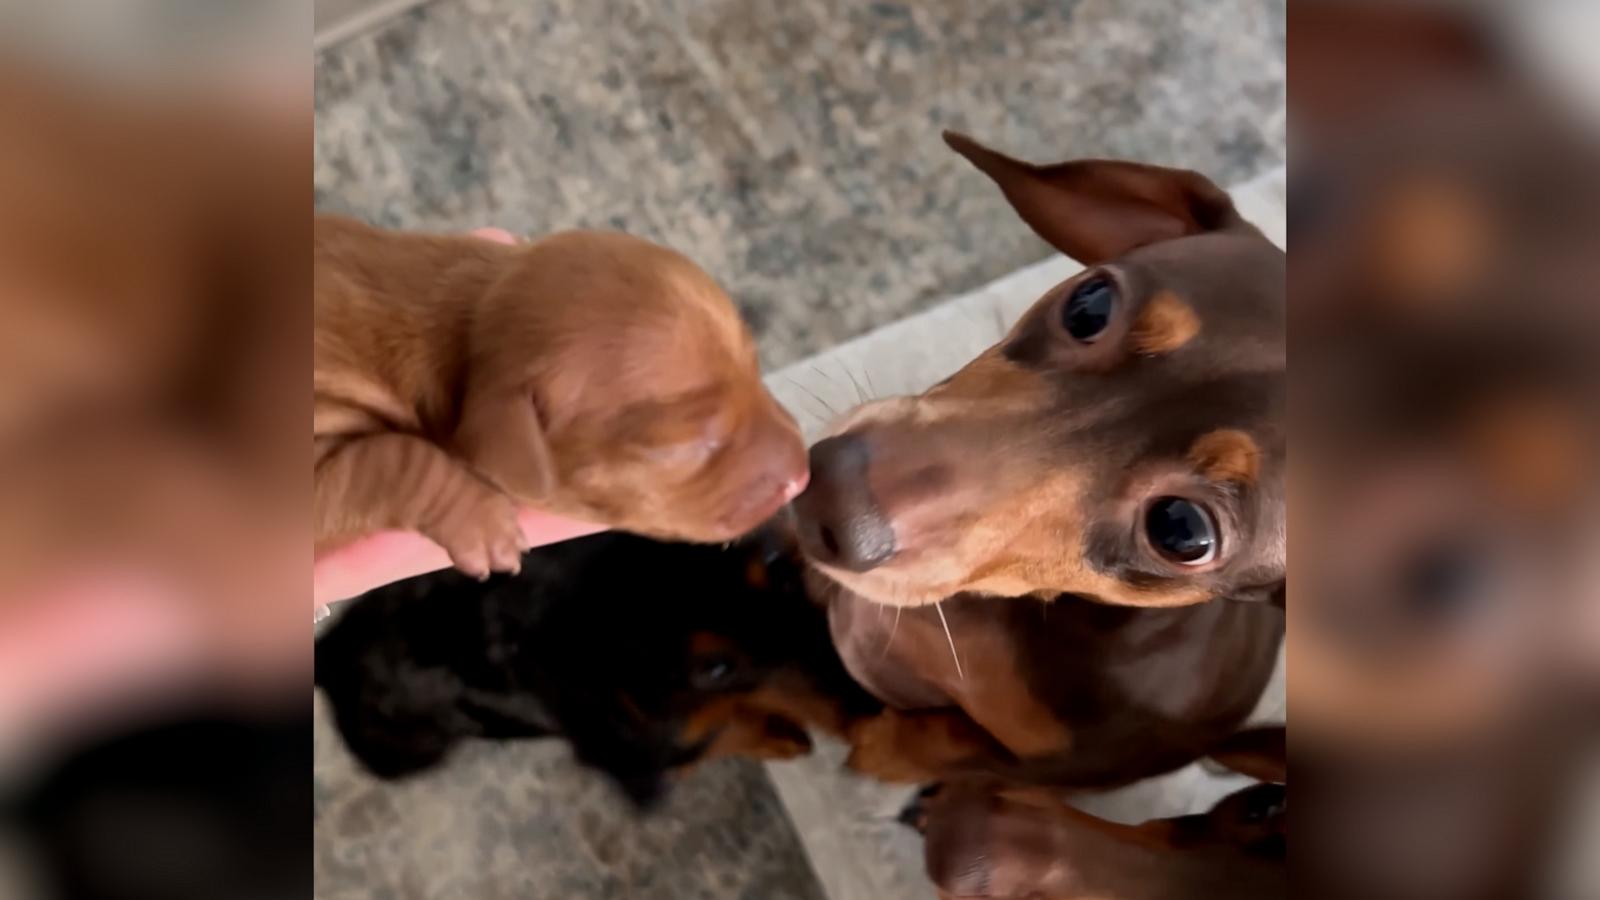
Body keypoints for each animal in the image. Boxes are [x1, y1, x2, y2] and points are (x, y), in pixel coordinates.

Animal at [316, 522, 883, 800]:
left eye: (774, 573)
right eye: (714, 670)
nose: (875, 704)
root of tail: (330, 648)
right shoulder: (640, 751)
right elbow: (716, 740)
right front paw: (774, 737)